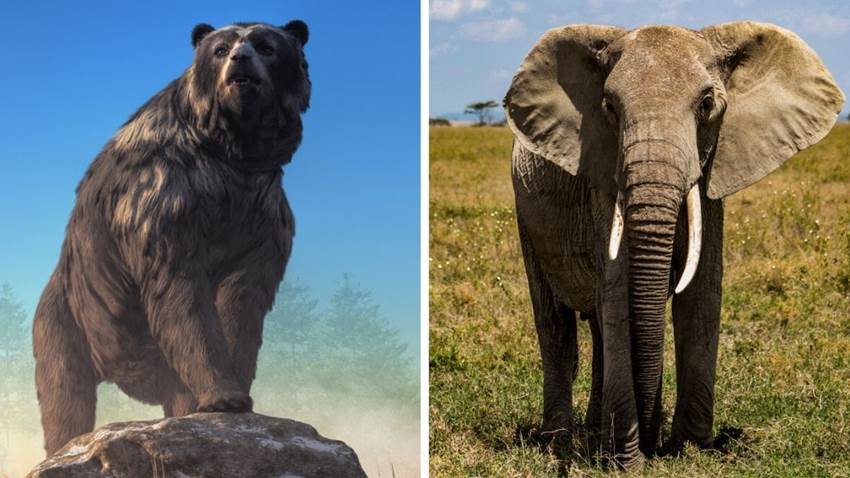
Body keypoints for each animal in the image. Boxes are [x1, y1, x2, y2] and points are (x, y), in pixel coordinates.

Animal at [32, 20, 311, 455]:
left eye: (267, 45)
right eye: (220, 48)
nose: (240, 60)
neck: (231, 158)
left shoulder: (261, 222)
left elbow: (241, 306)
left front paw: (236, 396)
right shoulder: (162, 204)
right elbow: (182, 298)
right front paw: (223, 396)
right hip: (67, 320)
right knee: (64, 395)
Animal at [503, 22, 844, 468]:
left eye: (707, 104)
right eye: (609, 107)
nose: (654, 445)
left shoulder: (713, 171)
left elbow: (700, 296)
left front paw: (692, 451)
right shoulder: (603, 176)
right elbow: (618, 293)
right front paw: (625, 463)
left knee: (596, 326)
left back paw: (594, 429)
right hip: (525, 212)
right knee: (555, 323)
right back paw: (558, 439)